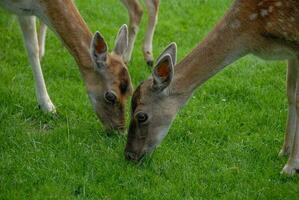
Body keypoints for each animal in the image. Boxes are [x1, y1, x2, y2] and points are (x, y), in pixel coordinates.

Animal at [0, 0, 134, 130]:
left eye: (130, 91)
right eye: (110, 96)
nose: (119, 129)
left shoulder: (25, 13)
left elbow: (33, 48)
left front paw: (47, 106)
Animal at [125, 0, 299, 176]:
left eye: (141, 116)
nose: (129, 155)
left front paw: (290, 167)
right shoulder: (291, 53)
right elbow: (290, 94)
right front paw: (284, 150)